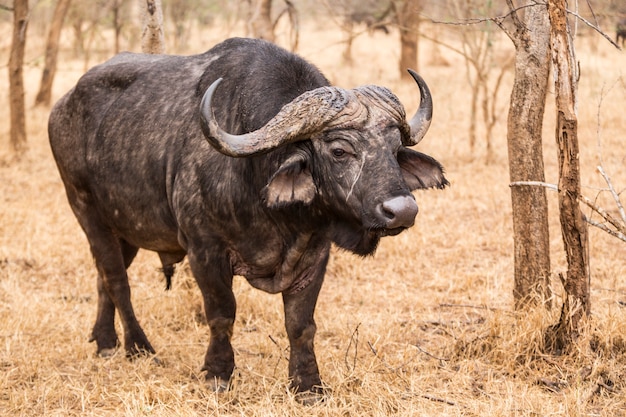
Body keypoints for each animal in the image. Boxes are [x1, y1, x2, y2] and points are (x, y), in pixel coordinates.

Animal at [48, 37, 448, 398]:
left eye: (395, 148)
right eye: (339, 150)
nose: (402, 210)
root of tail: (63, 106)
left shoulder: (315, 254)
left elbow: (301, 324)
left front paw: (308, 385)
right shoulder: (205, 251)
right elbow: (222, 314)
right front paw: (218, 373)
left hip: (126, 229)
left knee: (103, 277)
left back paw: (104, 339)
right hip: (87, 212)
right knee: (117, 281)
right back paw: (136, 346)